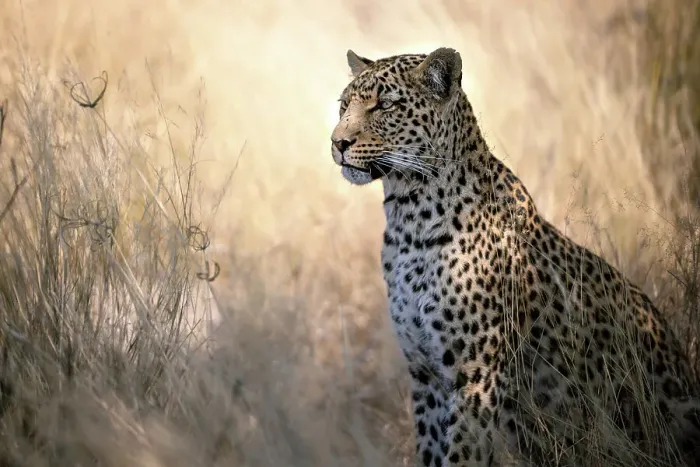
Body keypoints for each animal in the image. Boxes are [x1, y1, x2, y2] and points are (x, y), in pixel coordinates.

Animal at [329, 47, 700, 466]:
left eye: (385, 105)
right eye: (343, 105)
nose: (337, 143)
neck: (409, 219)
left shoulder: (475, 377)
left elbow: (462, 454)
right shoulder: (426, 376)